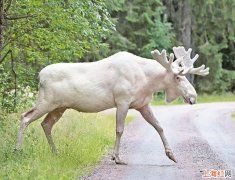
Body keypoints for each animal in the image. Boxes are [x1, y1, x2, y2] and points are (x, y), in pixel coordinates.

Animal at [15, 46, 208, 165]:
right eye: (178, 77)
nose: (193, 96)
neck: (148, 81)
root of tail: (39, 76)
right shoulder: (122, 101)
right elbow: (120, 129)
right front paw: (117, 157)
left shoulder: (142, 104)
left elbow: (159, 126)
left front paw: (171, 154)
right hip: (46, 102)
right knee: (25, 117)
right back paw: (18, 150)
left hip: (59, 107)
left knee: (46, 124)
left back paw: (56, 152)